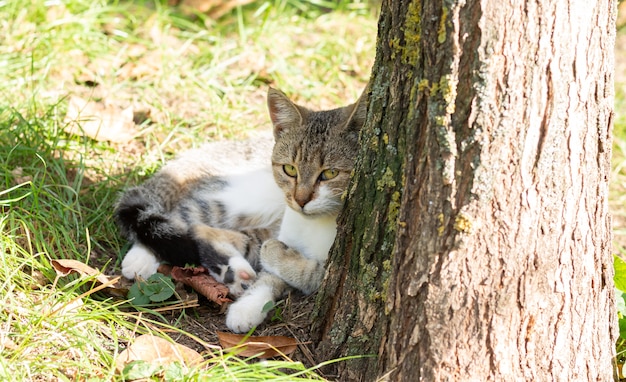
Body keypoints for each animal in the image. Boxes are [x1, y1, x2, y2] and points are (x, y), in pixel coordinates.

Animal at [116, 87, 366, 332]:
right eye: (289, 169)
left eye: (330, 173)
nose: (301, 200)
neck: (317, 222)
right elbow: (271, 275)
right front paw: (249, 305)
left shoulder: (337, 267)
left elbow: (307, 273)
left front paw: (250, 304)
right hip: (241, 200)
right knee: (186, 218)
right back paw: (141, 256)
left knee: (209, 232)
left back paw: (235, 271)